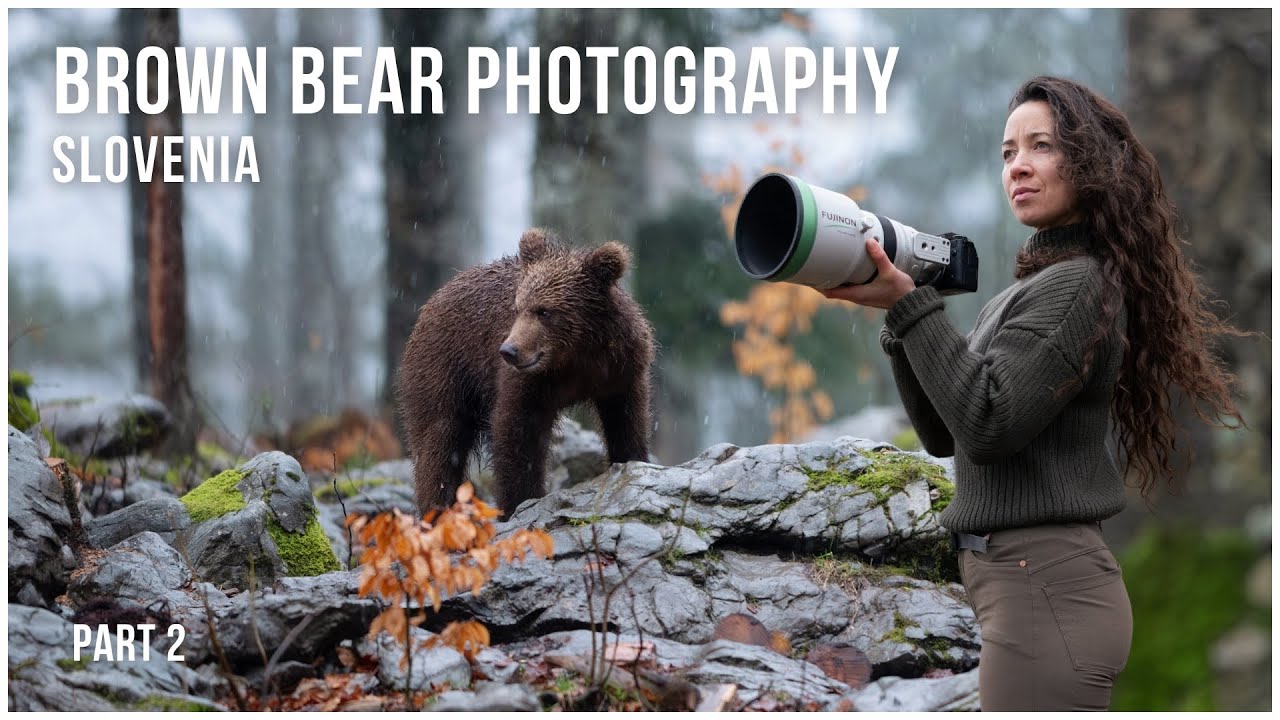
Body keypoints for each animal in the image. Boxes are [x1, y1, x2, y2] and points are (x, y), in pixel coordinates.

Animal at [395, 228, 656, 516]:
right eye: (518, 308)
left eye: (544, 311)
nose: (509, 350)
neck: (575, 357)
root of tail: (434, 298)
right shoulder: (528, 382)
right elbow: (516, 433)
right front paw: (520, 501)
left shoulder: (621, 370)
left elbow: (627, 421)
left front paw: (631, 459)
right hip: (444, 367)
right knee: (438, 439)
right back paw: (438, 508)